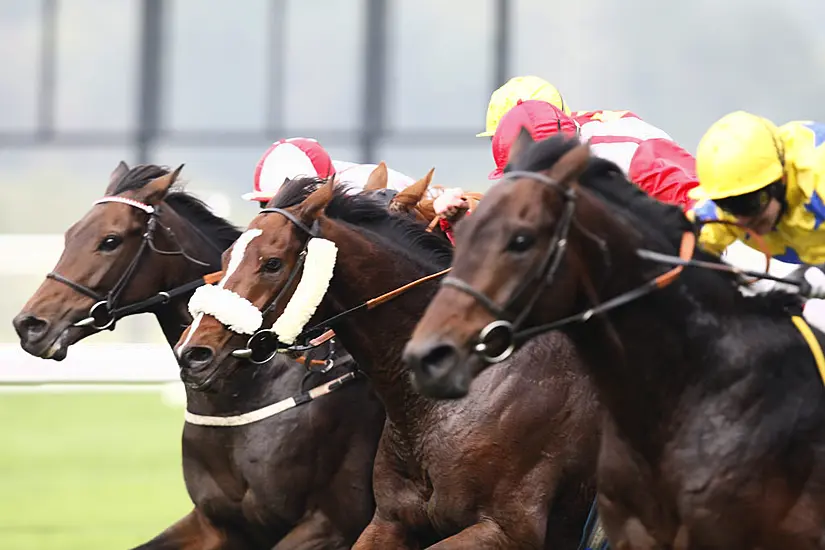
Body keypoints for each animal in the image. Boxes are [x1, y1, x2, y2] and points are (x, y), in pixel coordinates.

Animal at [12, 165, 438, 550]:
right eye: (70, 235)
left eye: (110, 240)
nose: (29, 324)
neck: (246, 394)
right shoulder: (215, 522)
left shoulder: (330, 523)